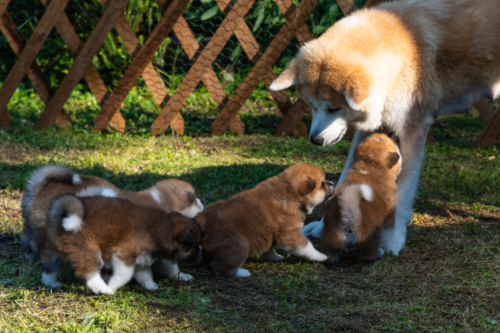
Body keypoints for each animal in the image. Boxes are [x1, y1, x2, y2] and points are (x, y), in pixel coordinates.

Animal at [44, 195, 201, 294]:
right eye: (194, 246)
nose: (200, 251)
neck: (161, 229)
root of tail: (60, 218)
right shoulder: (123, 256)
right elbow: (124, 275)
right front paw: (112, 285)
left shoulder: (143, 260)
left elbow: (147, 275)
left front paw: (152, 285)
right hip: (87, 250)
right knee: (87, 271)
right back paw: (103, 289)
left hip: (55, 253)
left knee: (50, 269)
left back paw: (51, 283)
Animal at [193, 163, 334, 274]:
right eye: (322, 184)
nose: (333, 183)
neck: (291, 194)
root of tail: (203, 219)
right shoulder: (291, 234)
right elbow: (307, 247)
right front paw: (321, 256)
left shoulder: (272, 235)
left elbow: (270, 249)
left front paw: (275, 257)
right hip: (239, 245)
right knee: (222, 267)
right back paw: (241, 272)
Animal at [320, 132, 402, 264]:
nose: (393, 134)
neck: (370, 165)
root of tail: (350, 217)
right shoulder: (390, 213)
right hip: (372, 235)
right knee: (369, 255)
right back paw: (380, 253)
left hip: (329, 235)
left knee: (330, 254)